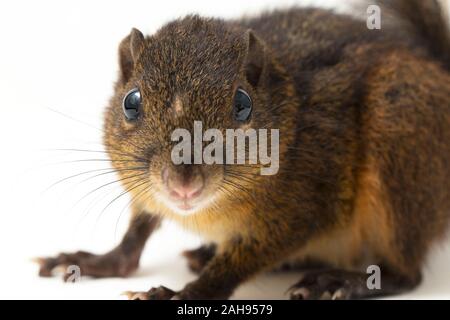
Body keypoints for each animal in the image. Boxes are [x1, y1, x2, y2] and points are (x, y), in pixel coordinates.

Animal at [37, 0, 450, 300]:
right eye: (131, 102)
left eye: (242, 103)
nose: (183, 184)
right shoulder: (146, 190)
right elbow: (136, 234)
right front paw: (94, 261)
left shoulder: (301, 206)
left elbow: (241, 262)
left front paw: (182, 294)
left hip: (399, 140)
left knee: (404, 273)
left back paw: (341, 281)